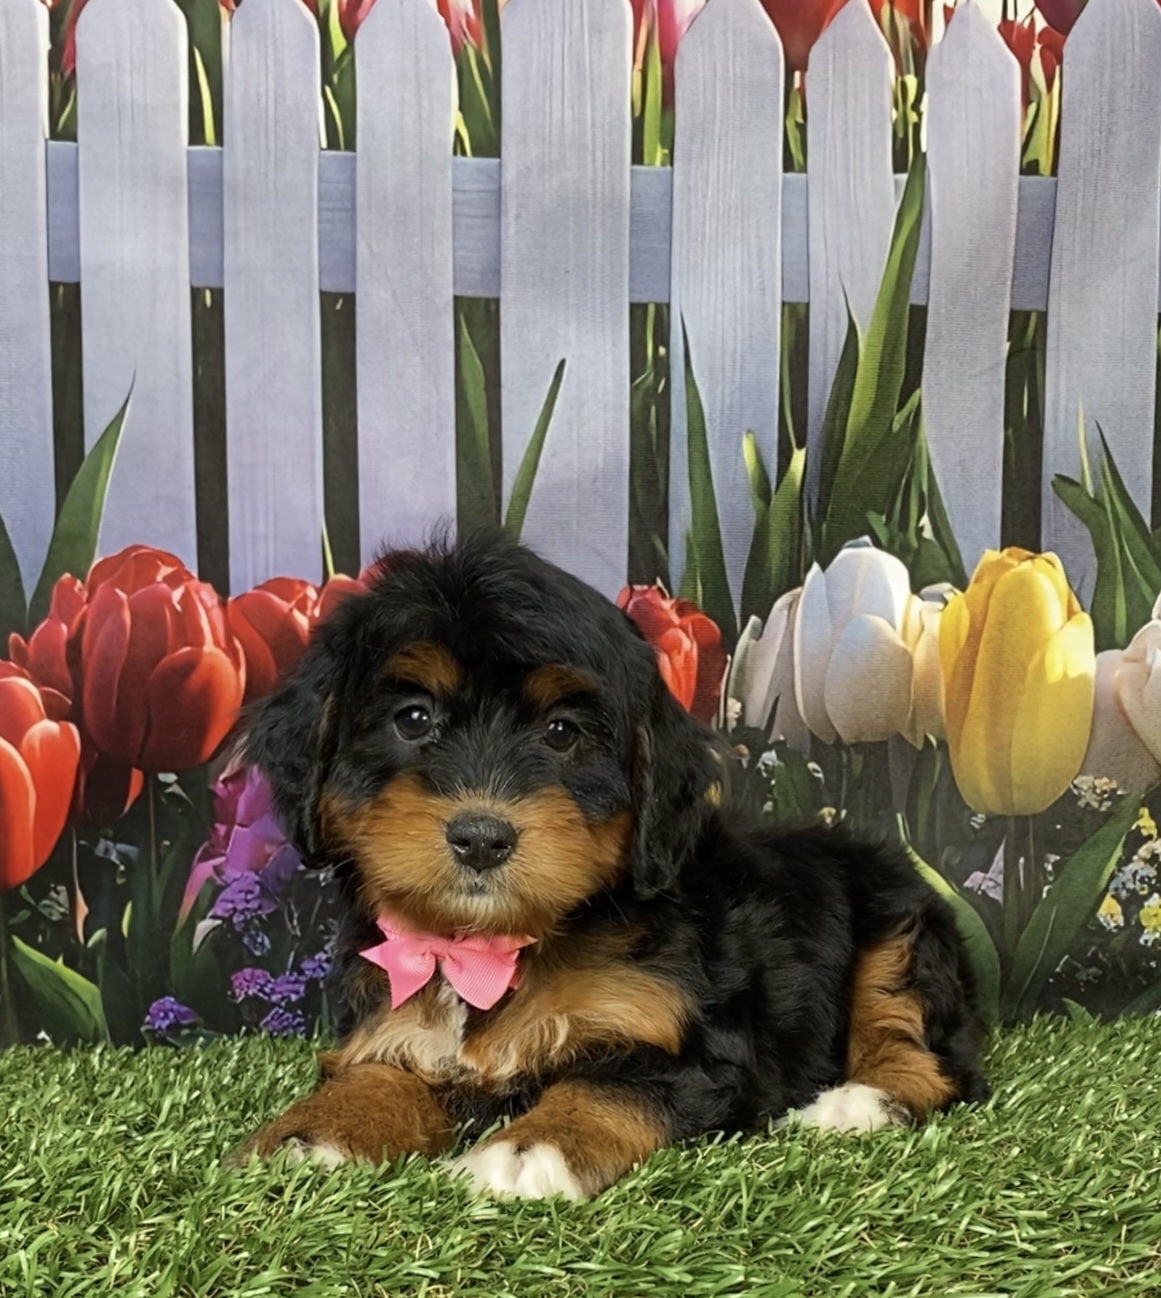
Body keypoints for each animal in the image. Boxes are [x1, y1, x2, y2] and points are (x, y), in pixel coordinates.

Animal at [235, 530, 988, 1199]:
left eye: (562, 733)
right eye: (414, 719)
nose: (480, 838)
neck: (494, 948)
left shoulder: (691, 1046)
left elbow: (606, 1085)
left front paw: (529, 1152)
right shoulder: (391, 1025)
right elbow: (376, 1074)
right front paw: (310, 1137)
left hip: (900, 928)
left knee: (921, 1047)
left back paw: (853, 1104)